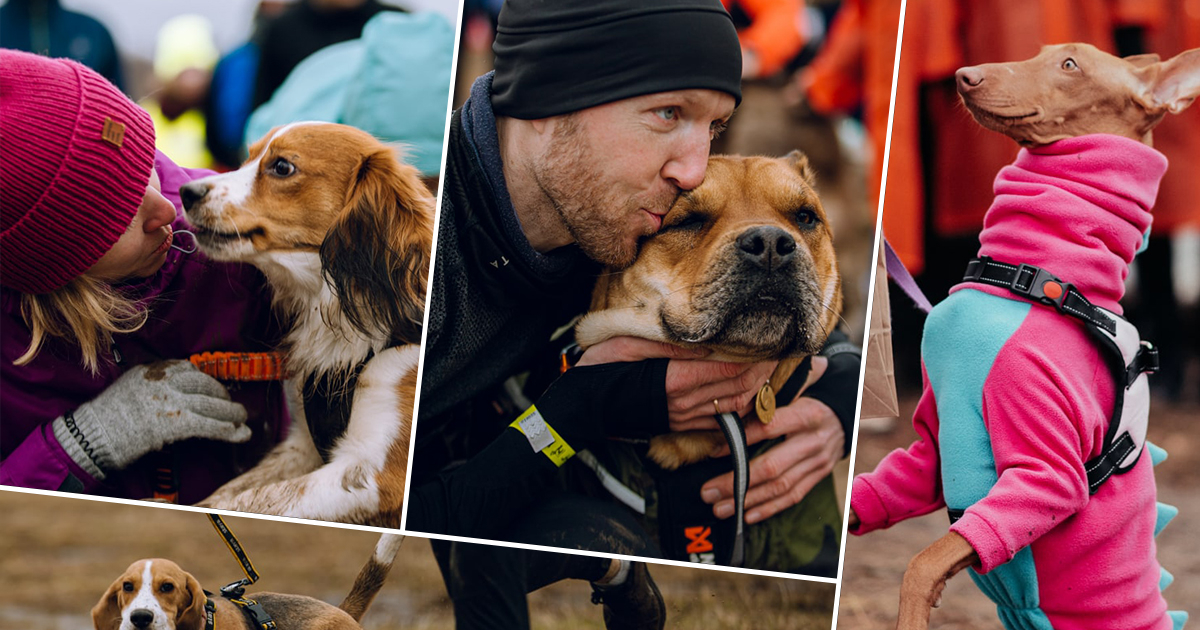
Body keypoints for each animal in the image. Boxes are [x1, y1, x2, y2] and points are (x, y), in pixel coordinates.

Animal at [181, 123, 432, 525]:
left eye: (282, 167)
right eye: (247, 157)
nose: (186, 192)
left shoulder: (371, 472)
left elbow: (244, 500)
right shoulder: (303, 446)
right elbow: (231, 494)